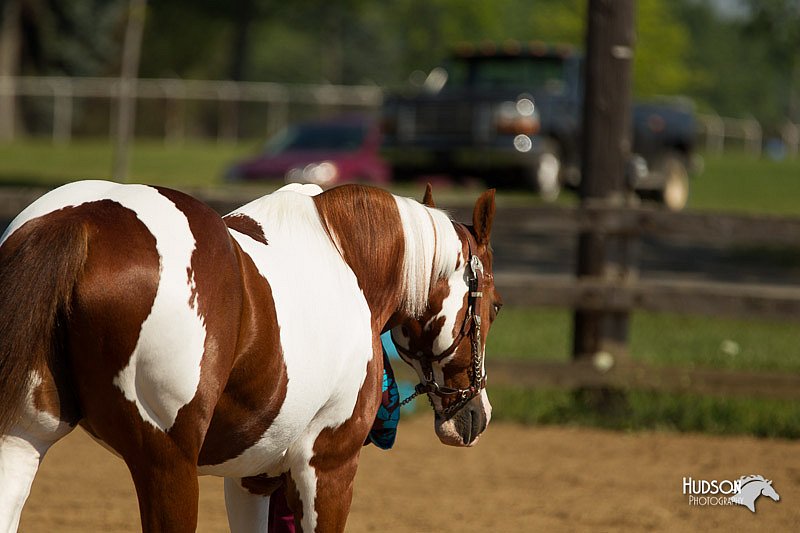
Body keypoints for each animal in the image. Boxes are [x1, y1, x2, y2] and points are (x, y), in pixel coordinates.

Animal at [0, 181, 500, 528]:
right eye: (495, 306)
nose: (476, 415)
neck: (348, 256)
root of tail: (83, 219)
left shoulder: (253, 478)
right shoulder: (328, 467)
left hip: (23, 437)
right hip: (168, 465)